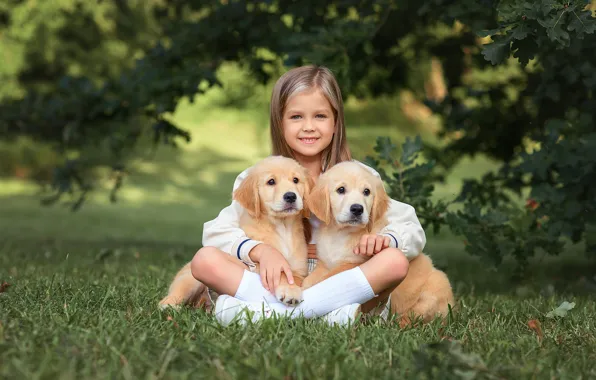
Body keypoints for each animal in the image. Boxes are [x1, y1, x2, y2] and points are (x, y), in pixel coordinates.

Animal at [161, 157, 314, 308]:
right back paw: (169, 305)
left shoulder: (300, 270)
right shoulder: (259, 267)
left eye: (296, 180)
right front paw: (289, 291)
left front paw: (292, 289)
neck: (282, 227)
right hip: (189, 279)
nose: (291, 196)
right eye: (271, 182)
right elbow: (280, 271)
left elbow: (294, 277)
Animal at [302, 160, 456, 326]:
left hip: (432, 292)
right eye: (341, 190)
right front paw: (303, 285)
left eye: (366, 192)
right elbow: (314, 277)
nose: (357, 209)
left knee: (412, 318)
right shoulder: (324, 263)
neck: (341, 233)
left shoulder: (356, 262)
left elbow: (330, 276)